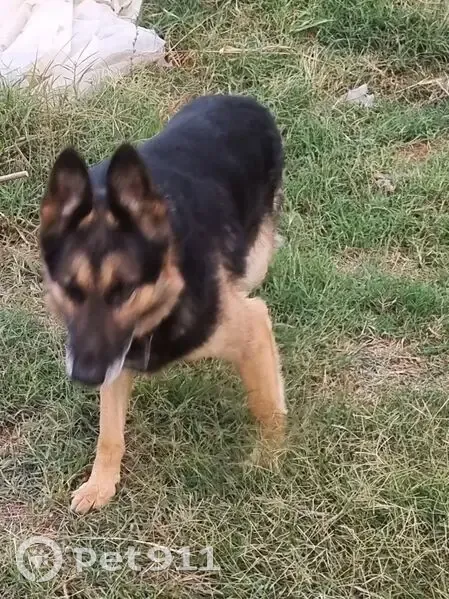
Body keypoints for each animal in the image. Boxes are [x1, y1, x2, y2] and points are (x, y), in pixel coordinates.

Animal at [39, 94, 287, 514]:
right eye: (71, 289)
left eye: (123, 290)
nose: (84, 377)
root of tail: (241, 99)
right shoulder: (116, 359)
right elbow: (109, 433)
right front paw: (100, 484)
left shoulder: (252, 323)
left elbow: (267, 407)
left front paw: (270, 458)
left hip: (254, 260)